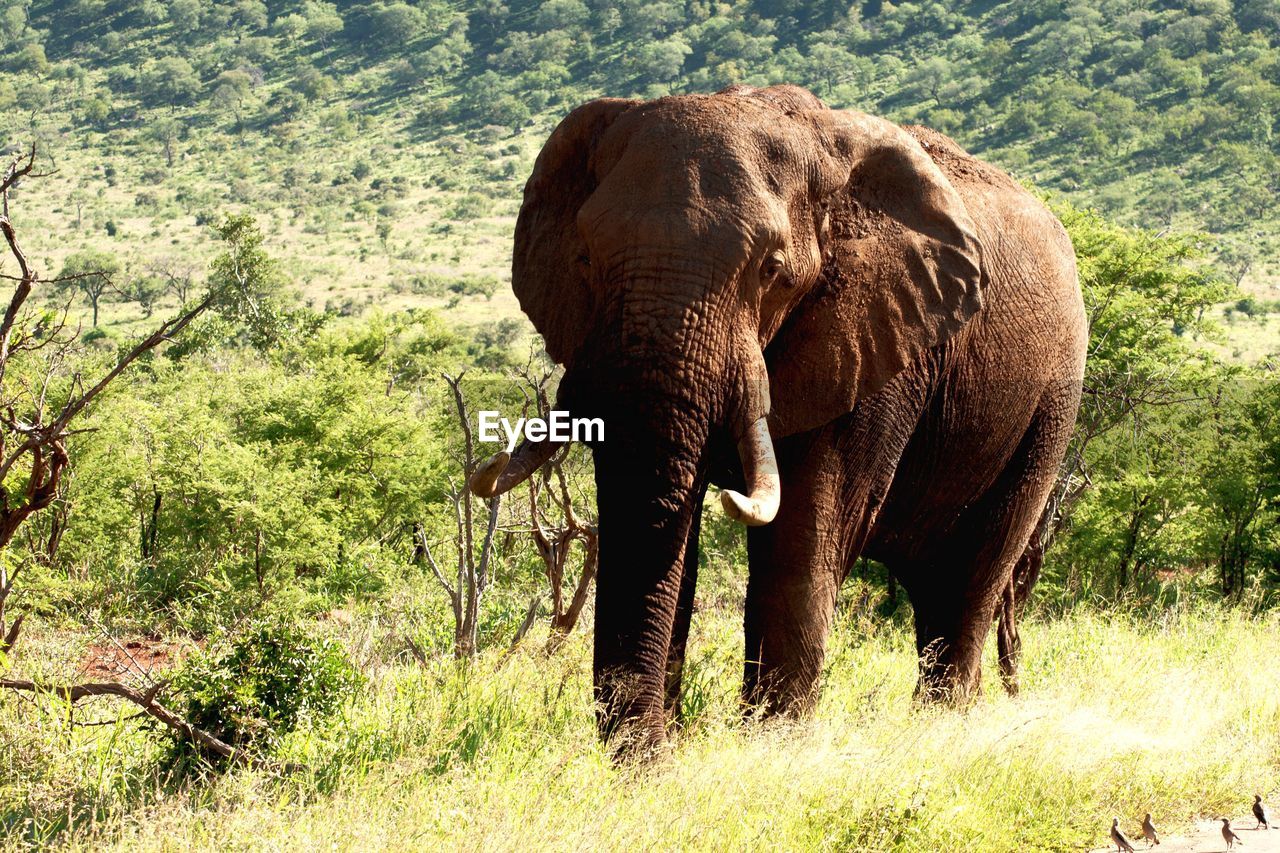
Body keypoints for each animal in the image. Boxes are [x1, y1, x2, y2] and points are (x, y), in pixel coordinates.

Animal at [473, 84, 1090, 753]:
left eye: (770, 269)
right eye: (584, 258)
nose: (655, 762)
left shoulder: (873, 345)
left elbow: (800, 542)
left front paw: (772, 749)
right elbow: (675, 541)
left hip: (1051, 408)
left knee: (969, 583)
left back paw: (943, 730)